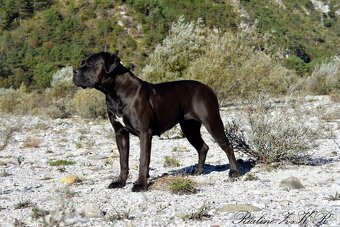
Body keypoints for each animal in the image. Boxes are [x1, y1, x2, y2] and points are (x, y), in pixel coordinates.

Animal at [73, 51, 240, 192]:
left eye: (89, 64)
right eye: (82, 63)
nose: (74, 71)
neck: (115, 92)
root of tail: (208, 88)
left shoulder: (144, 133)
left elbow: (143, 160)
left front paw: (141, 184)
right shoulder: (120, 134)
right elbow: (123, 161)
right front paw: (120, 182)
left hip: (212, 122)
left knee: (227, 146)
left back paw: (234, 172)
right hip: (189, 128)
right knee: (203, 147)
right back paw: (198, 171)